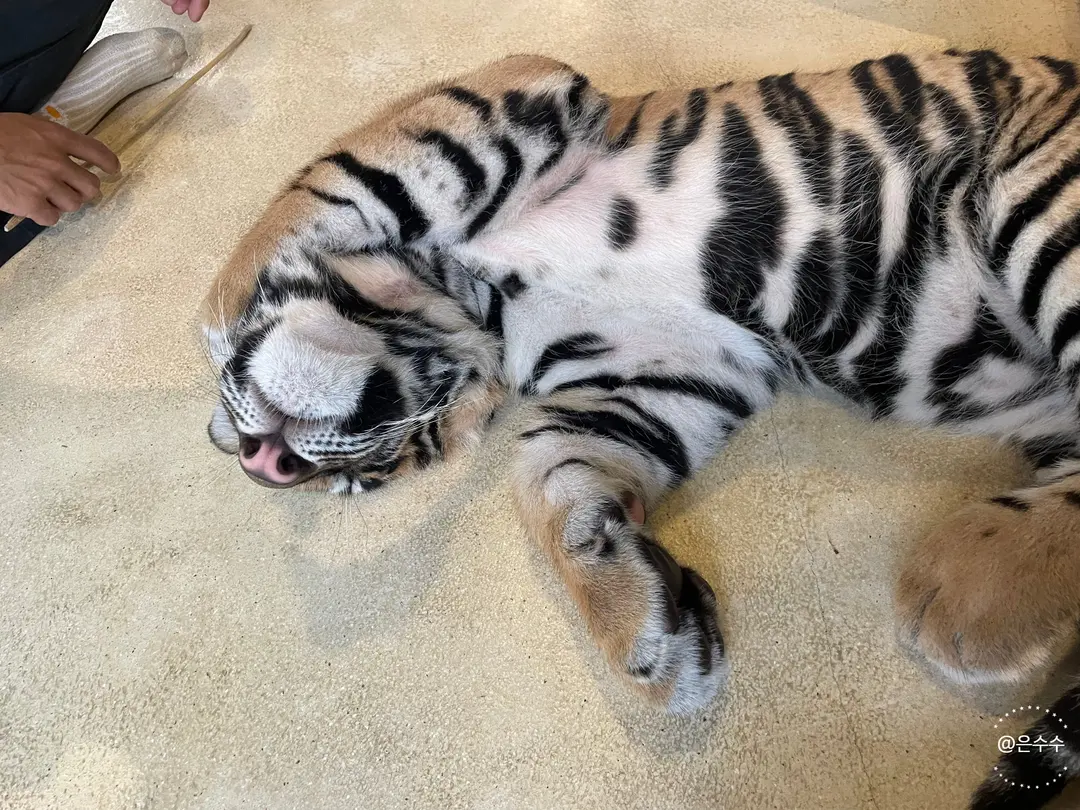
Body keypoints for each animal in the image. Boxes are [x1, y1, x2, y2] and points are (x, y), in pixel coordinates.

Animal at [200, 50, 1080, 809]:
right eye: (368, 477)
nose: (264, 466)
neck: (479, 309)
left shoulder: (519, 88)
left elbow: (317, 194)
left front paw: (229, 311)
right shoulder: (666, 370)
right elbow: (549, 479)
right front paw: (652, 641)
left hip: (1033, 197)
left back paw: (957, 594)